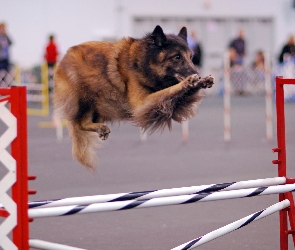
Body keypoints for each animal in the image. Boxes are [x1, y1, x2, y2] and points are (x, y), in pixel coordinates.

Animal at [53, 25, 215, 169]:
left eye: (191, 57)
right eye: (177, 57)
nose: (197, 73)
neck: (143, 63)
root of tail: (64, 58)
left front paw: (201, 81)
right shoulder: (143, 103)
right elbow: (169, 90)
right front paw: (189, 82)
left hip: (102, 104)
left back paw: (100, 128)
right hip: (85, 98)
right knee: (78, 123)